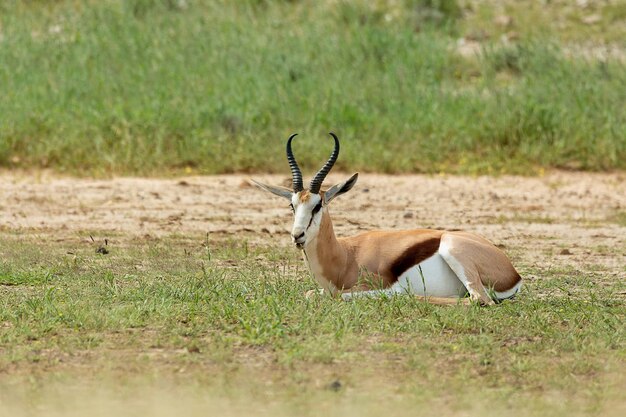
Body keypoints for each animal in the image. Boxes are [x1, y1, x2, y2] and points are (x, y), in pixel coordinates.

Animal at [251, 133, 520, 306]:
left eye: (318, 206)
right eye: (292, 205)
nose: (297, 235)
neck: (345, 256)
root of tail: (513, 272)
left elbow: (340, 295)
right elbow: (309, 293)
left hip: (454, 250)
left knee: (479, 300)